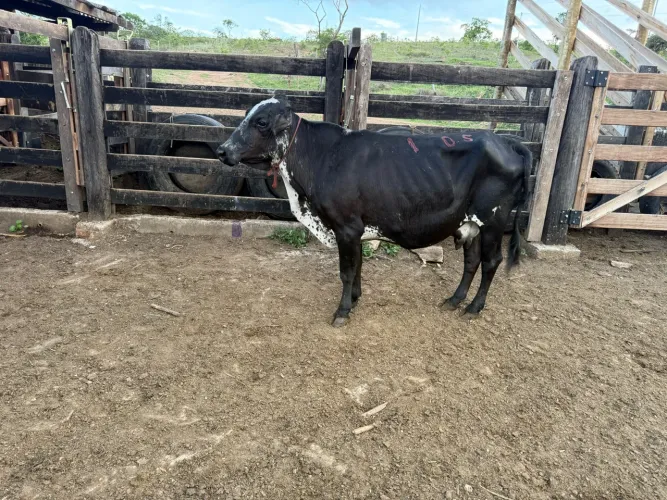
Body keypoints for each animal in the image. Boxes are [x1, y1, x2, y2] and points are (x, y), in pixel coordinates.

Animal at [217, 98, 531, 327]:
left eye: (261, 121)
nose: (221, 151)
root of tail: (504, 141)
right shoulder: (355, 229)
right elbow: (357, 266)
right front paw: (355, 299)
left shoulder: (346, 227)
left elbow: (346, 270)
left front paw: (342, 311)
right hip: (470, 223)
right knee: (472, 260)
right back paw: (454, 301)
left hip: (493, 220)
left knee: (491, 262)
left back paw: (474, 308)